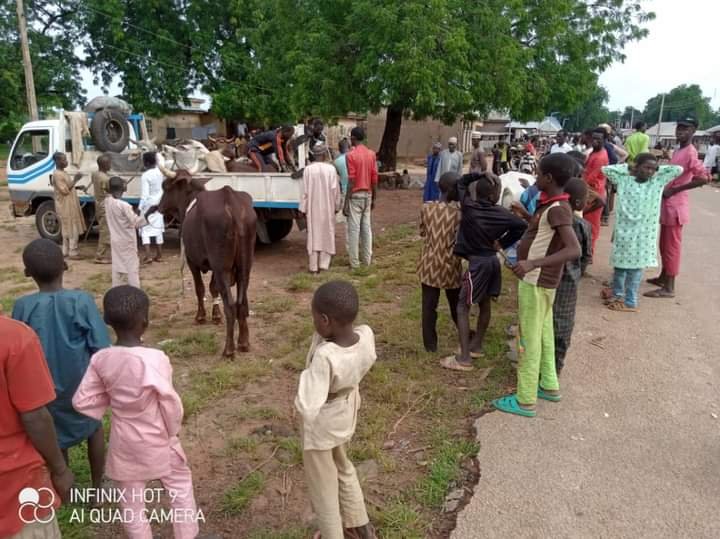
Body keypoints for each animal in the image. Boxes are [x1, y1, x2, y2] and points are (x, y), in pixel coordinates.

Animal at [150, 167, 258, 356]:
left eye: (166, 186)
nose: (159, 207)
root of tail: (231, 202)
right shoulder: (215, 266)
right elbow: (213, 288)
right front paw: (215, 315)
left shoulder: (192, 260)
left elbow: (200, 289)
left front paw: (201, 316)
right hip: (244, 267)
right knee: (242, 303)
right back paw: (243, 342)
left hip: (222, 267)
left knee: (231, 306)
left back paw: (228, 349)